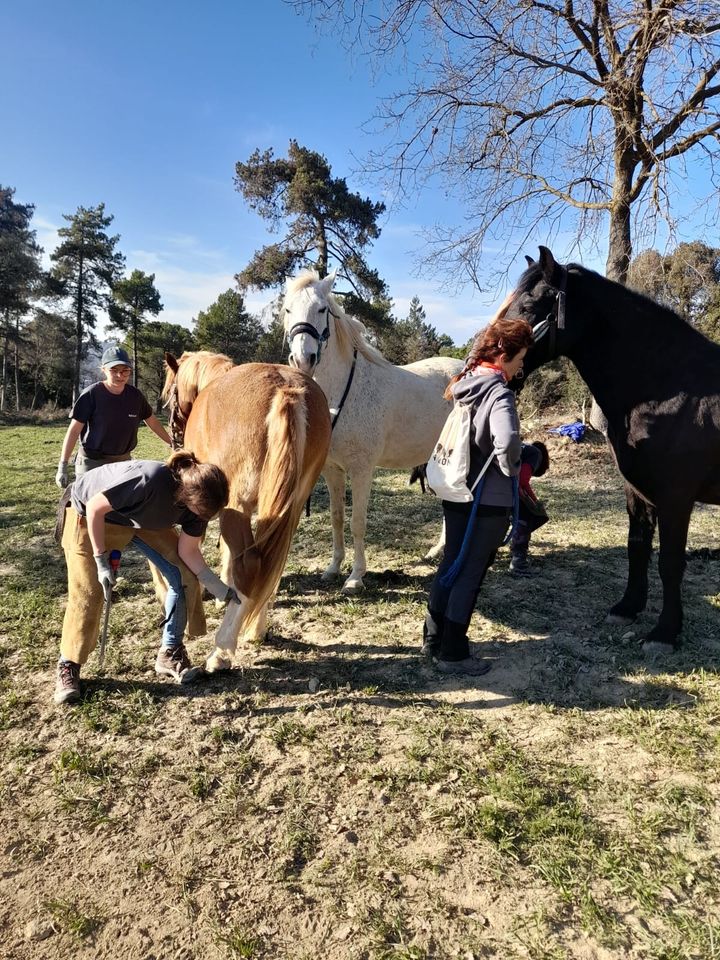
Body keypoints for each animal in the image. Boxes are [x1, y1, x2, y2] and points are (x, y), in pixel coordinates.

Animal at [162, 352, 330, 668]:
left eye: (171, 392)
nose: (174, 434)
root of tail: (285, 389)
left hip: (237, 504)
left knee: (250, 564)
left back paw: (221, 651)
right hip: (287, 508)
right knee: (271, 562)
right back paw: (256, 629)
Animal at [282, 270, 462, 592]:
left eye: (322, 309)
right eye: (288, 310)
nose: (303, 359)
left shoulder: (362, 469)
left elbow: (357, 523)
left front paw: (355, 577)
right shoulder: (332, 470)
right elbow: (337, 518)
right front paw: (333, 568)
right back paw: (437, 550)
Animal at [506, 248, 720, 652]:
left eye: (527, 306)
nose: (473, 360)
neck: (670, 392)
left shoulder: (676, 498)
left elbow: (670, 562)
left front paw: (665, 633)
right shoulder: (637, 492)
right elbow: (637, 547)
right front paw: (627, 607)